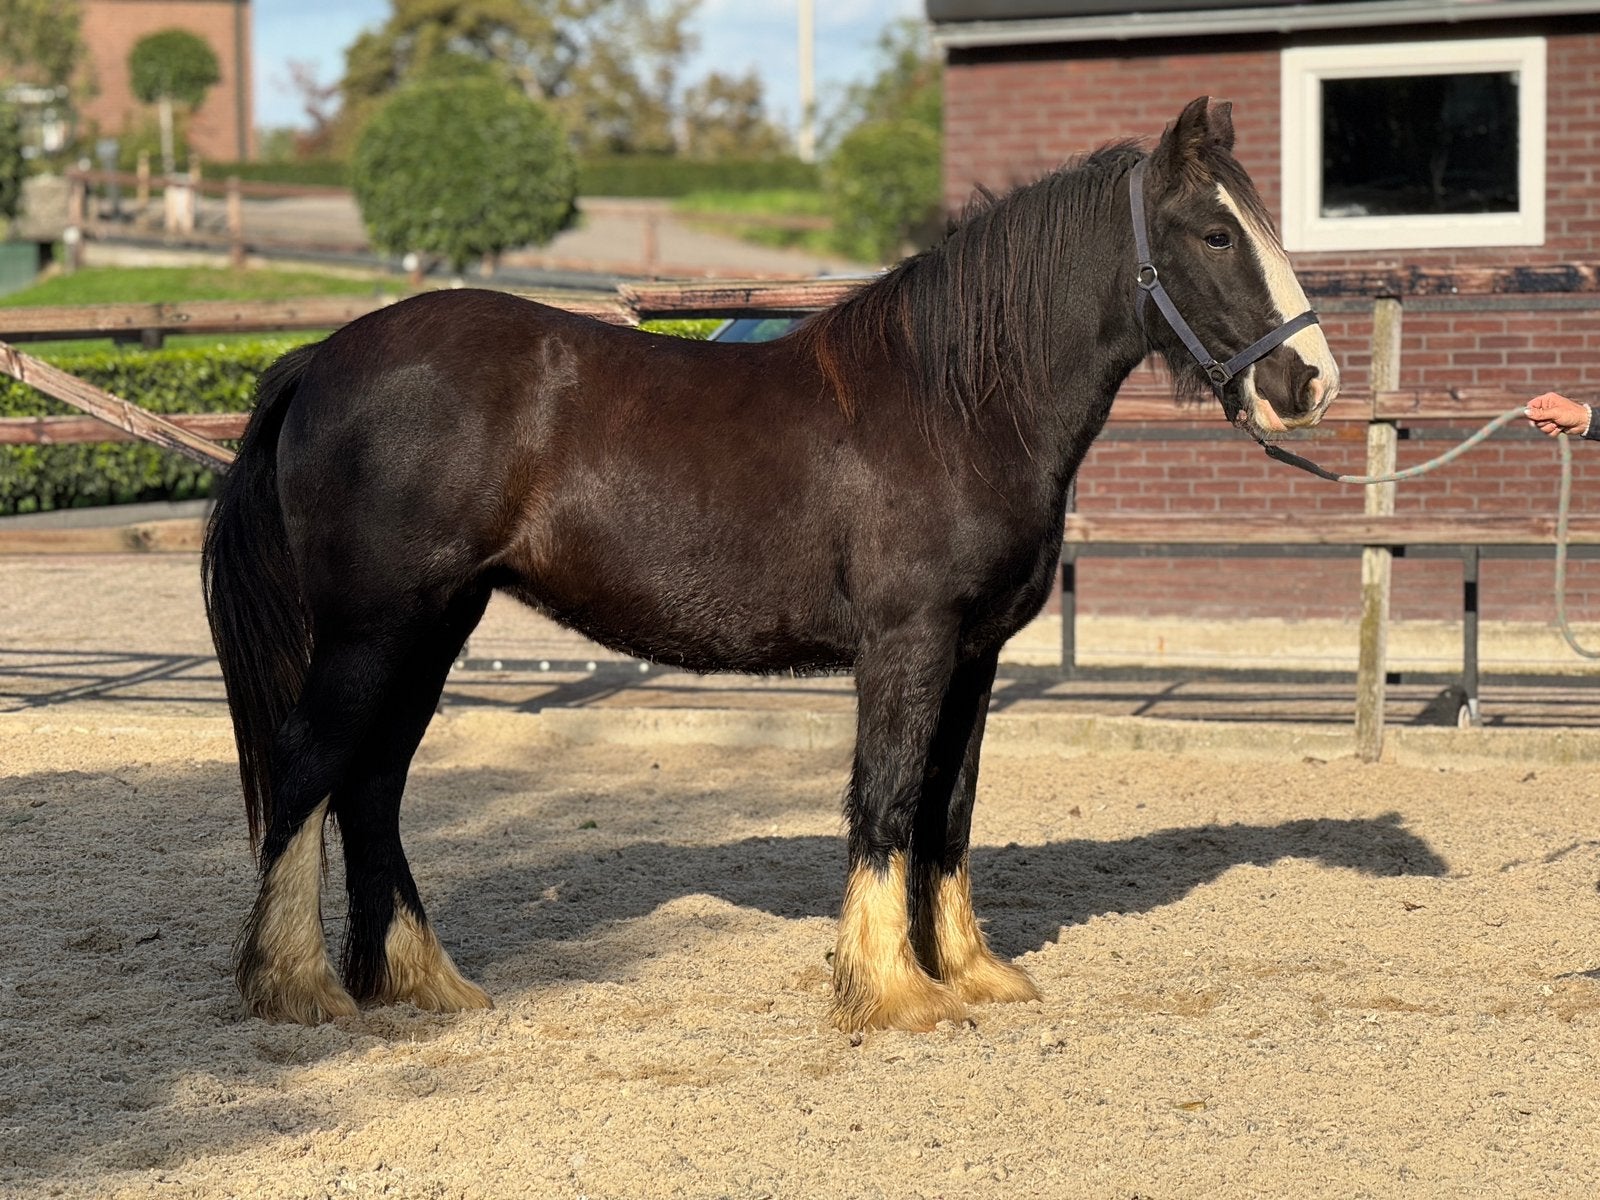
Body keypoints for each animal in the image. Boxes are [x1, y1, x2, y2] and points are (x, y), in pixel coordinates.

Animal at [202, 96, 1340, 1033]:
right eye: (1216, 232)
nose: (1310, 380)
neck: (954, 404)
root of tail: (322, 358)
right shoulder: (907, 645)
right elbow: (885, 800)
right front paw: (891, 991)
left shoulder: (973, 657)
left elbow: (950, 808)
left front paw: (969, 971)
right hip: (376, 627)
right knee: (311, 770)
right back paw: (299, 986)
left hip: (434, 625)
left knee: (371, 786)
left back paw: (423, 983)